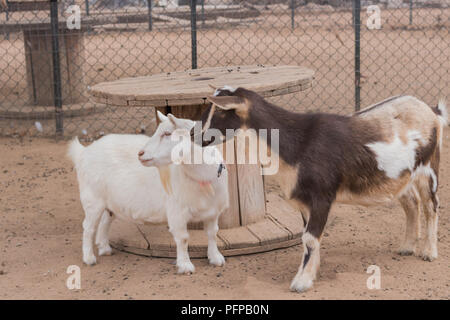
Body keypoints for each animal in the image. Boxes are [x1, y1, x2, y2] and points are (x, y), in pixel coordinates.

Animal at [67, 112, 229, 272]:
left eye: (167, 133)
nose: (140, 153)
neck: (202, 177)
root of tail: (84, 152)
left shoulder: (213, 212)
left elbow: (212, 233)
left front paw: (216, 258)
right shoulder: (177, 213)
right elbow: (183, 238)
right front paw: (185, 266)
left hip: (110, 202)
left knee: (104, 222)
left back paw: (104, 248)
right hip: (92, 199)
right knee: (88, 228)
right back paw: (89, 258)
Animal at [200, 87, 446, 292]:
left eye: (221, 111)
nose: (196, 136)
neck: (297, 144)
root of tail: (431, 111)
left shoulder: (322, 197)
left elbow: (310, 238)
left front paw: (301, 282)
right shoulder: (304, 202)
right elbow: (309, 237)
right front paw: (311, 273)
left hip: (429, 168)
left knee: (431, 205)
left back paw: (429, 252)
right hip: (401, 177)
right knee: (411, 203)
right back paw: (407, 247)